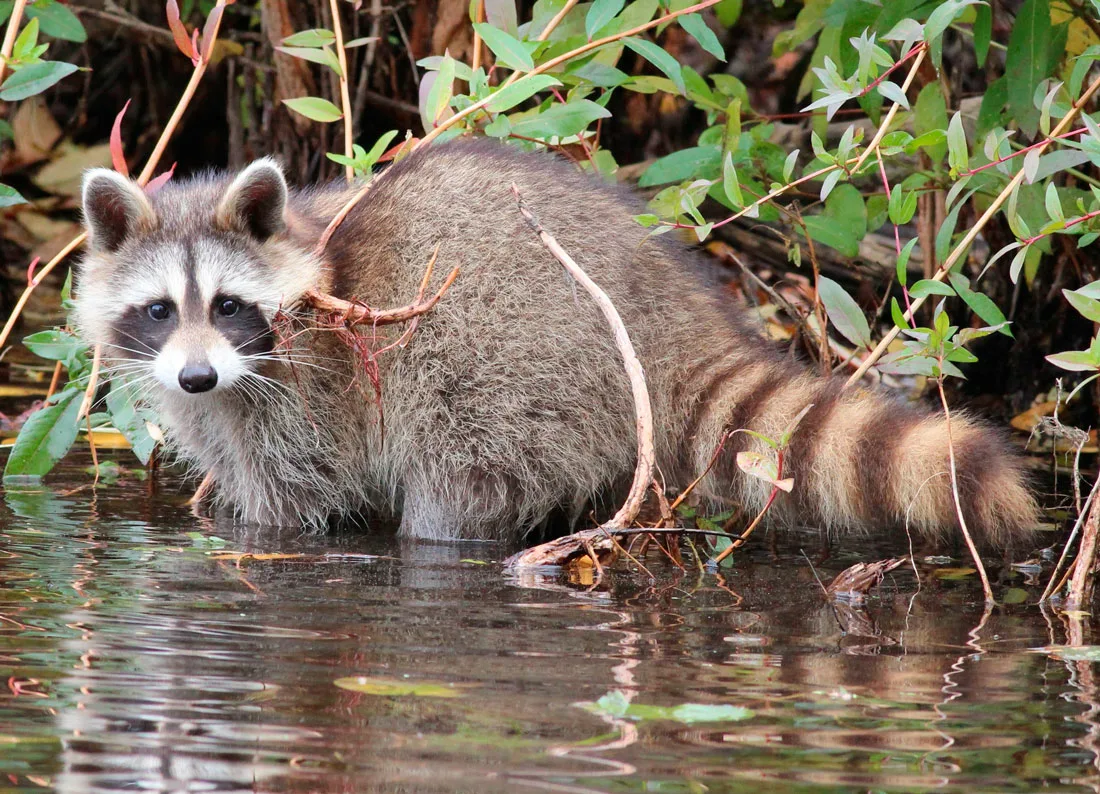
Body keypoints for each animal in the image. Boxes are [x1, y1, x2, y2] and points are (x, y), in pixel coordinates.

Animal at [73, 139, 1034, 541]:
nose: (197, 379)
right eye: (159, 311)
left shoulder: (313, 391)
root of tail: (663, 306)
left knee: (458, 482)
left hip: (513, 360)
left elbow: (297, 501)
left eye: (229, 304)